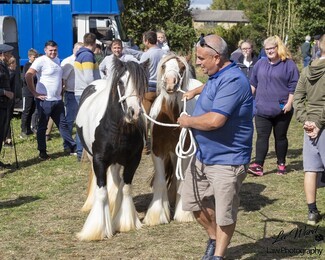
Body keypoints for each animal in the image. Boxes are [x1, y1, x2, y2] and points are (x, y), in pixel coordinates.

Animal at [75, 58, 147, 241]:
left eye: (142, 83)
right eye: (121, 82)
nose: (134, 112)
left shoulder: (133, 160)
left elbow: (125, 187)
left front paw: (126, 222)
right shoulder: (99, 161)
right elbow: (102, 192)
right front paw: (97, 230)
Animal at [144, 53, 201, 226]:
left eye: (181, 68)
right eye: (164, 66)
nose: (170, 82)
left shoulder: (184, 152)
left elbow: (182, 180)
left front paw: (184, 213)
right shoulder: (158, 151)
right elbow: (160, 180)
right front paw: (157, 215)